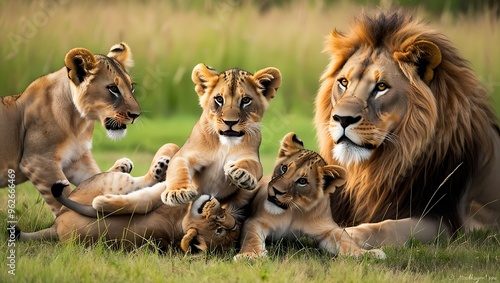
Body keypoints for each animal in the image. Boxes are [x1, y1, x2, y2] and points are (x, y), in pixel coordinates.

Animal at [0, 42, 141, 215]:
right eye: (113, 88)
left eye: (131, 87)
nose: (136, 115)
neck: (78, 122)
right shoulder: (38, 161)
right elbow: (67, 199)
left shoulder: (76, 160)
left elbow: (94, 179)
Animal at [316, 9, 500, 248]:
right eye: (344, 82)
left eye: (381, 87)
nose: (342, 118)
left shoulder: (447, 222)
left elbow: (386, 226)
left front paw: (348, 234)